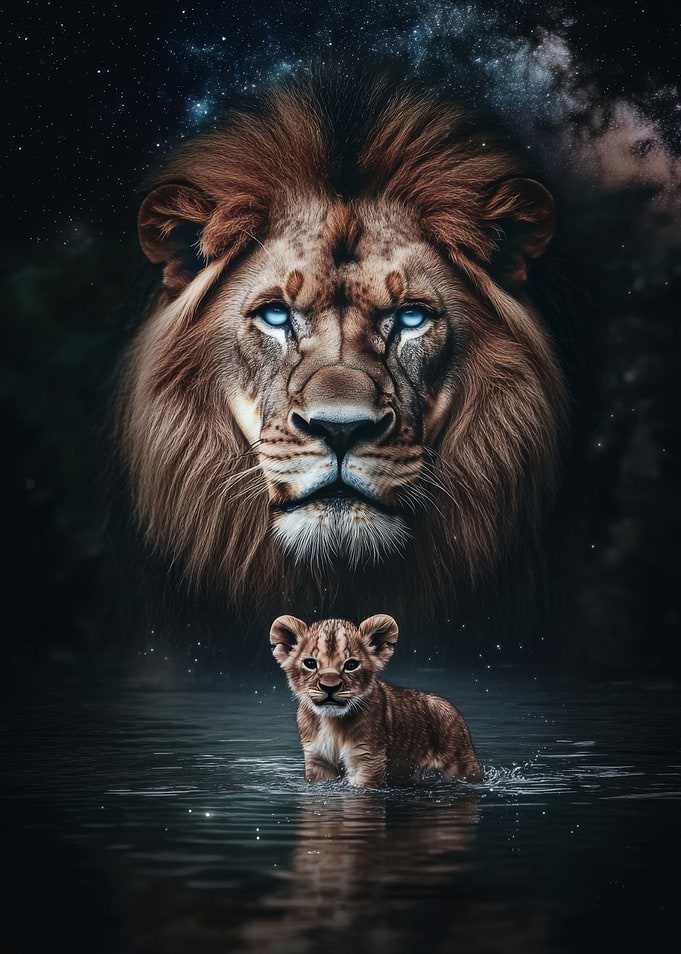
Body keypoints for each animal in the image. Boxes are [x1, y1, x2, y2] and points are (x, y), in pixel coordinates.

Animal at [270, 613, 482, 786]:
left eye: (351, 665)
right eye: (310, 663)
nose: (330, 687)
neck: (330, 721)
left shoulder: (368, 759)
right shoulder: (317, 760)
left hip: (462, 765)